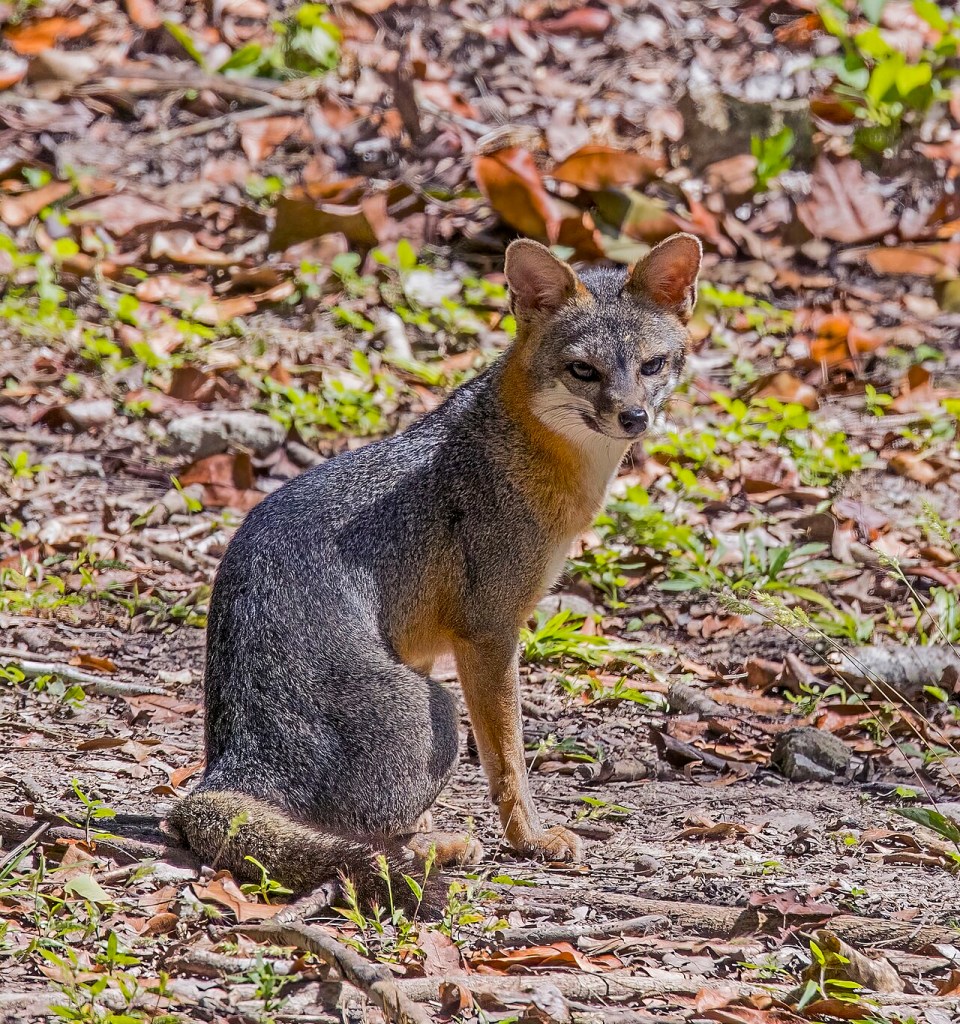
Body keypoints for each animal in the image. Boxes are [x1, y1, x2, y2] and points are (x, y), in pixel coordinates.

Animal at [168, 232, 702, 908]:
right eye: (584, 370)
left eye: (652, 366)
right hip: (441, 716)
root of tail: (231, 765)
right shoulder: (490, 632)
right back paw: (439, 849)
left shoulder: (423, 644)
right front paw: (528, 838)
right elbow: (509, 759)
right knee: (371, 835)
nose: (634, 417)